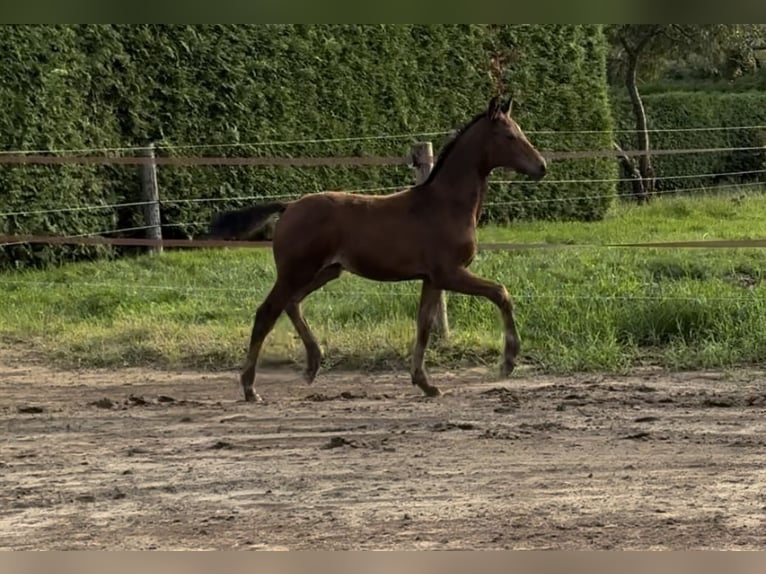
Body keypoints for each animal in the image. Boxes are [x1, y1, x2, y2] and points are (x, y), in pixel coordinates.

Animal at [208, 97, 544, 402]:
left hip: (325, 272)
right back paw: (250, 388)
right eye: (510, 136)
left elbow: (423, 325)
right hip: (296, 272)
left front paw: (425, 383)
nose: (541, 166)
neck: (445, 205)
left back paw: (312, 365)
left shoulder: (431, 279)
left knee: (291, 304)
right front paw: (508, 362)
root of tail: (289, 206)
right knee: (266, 313)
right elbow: (501, 293)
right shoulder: (450, 273)